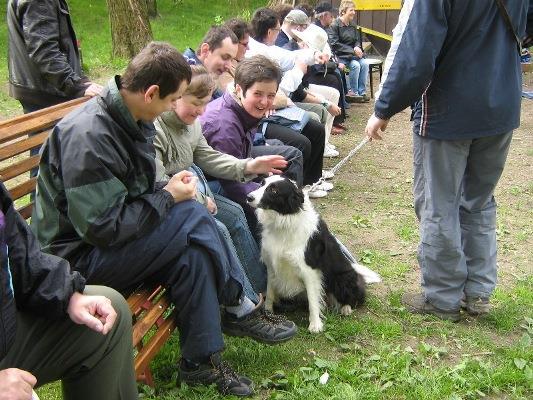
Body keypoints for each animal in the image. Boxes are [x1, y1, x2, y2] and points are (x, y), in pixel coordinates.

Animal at [247, 177, 380, 332]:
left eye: (274, 190)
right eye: (262, 184)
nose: (248, 197)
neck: (284, 222)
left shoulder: (309, 270)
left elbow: (312, 299)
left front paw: (315, 324)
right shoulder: (272, 265)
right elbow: (269, 292)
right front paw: (268, 313)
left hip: (343, 278)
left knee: (355, 297)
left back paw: (346, 308)